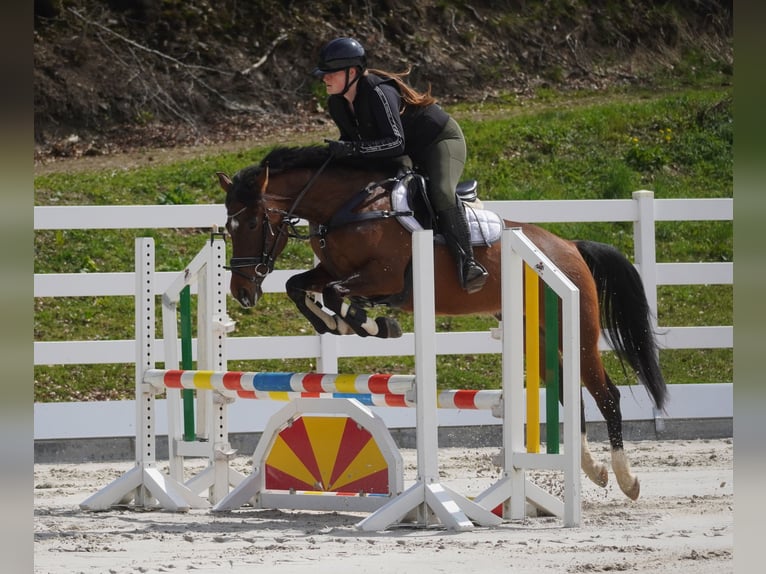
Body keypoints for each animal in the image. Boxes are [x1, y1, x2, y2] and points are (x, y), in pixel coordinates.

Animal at [216, 145, 667, 502]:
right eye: (228, 228)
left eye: (253, 223)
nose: (242, 291)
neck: (347, 208)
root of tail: (568, 245)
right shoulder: (330, 270)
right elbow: (300, 286)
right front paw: (341, 325)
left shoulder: (383, 278)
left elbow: (334, 293)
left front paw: (369, 323)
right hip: (533, 334)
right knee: (568, 392)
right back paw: (593, 469)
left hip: (579, 330)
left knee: (606, 393)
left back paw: (626, 481)